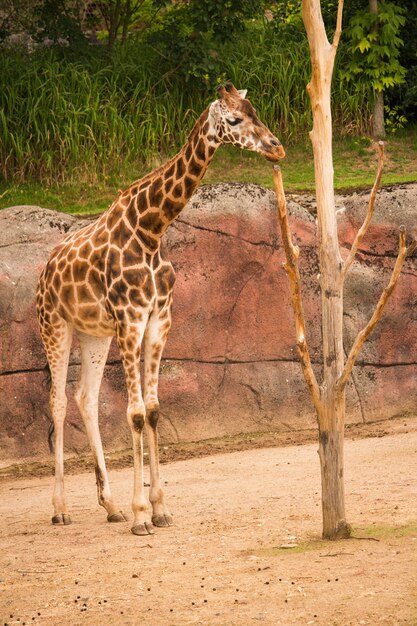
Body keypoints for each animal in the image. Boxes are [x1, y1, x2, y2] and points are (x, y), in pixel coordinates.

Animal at [35, 80, 284, 532]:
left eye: (256, 111)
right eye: (235, 118)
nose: (277, 148)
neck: (151, 229)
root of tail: (44, 271)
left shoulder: (158, 320)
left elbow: (151, 410)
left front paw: (159, 507)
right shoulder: (131, 320)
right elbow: (134, 413)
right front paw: (141, 515)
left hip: (94, 334)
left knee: (85, 397)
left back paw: (110, 505)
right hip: (55, 325)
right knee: (58, 401)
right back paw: (61, 508)